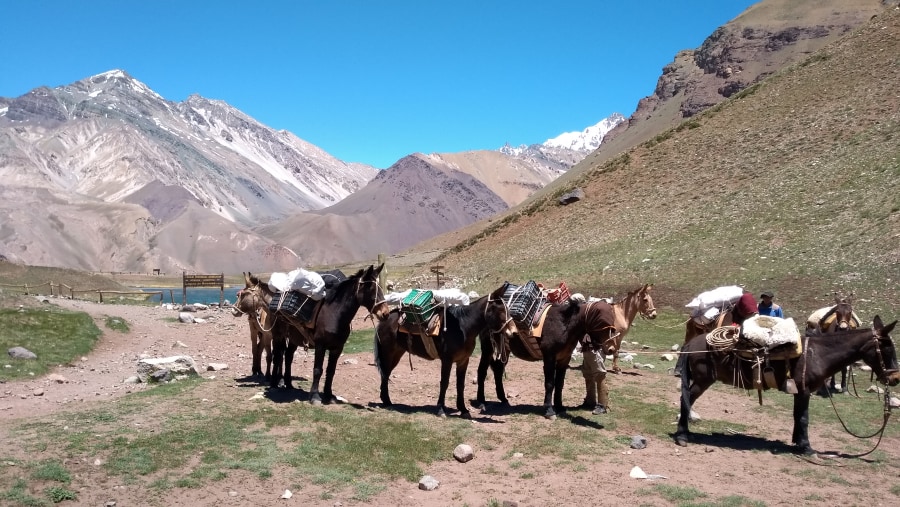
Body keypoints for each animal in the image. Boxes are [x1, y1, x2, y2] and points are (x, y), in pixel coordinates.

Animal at [266, 266, 384, 404]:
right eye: (371, 288)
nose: (385, 312)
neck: (334, 313)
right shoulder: (320, 345)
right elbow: (318, 370)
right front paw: (315, 396)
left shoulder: (337, 348)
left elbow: (331, 371)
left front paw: (329, 395)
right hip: (278, 335)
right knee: (278, 356)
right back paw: (274, 384)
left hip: (294, 339)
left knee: (288, 357)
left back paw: (289, 384)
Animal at [372, 284, 512, 418]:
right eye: (500, 310)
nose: (512, 331)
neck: (464, 327)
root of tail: (384, 319)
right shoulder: (447, 360)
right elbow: (444, 382)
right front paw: (441, 409)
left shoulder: (463, 360)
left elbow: (460, 384)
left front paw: (463, 409)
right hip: (388, 352)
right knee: (385, 372)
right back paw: (387, 401)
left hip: (397, 353)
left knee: (386, 372)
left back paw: (386, 401)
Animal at [474, 286, 656, 420]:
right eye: (602, 322)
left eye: (612, 321)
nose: (611, 348)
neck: (564, 325)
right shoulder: (549, 357)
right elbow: (549, 383)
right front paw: (549, 410)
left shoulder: (564, 359)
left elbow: (560, 383)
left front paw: (560, 406)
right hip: (488, 348)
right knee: (482, 371)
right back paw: (482, 402)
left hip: (503, 349)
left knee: (498, 370)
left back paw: (503, 399)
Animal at [676, 316, 900, 454]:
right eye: (887, 347)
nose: (896, 378)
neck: (818, 354)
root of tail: (691, 344)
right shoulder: (805, 391)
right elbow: (804, 418)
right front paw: (806, 447)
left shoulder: (799, 392)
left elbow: (797, 416)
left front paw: (797, 443)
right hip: (703, 381)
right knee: (685, 399)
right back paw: (682, 435)